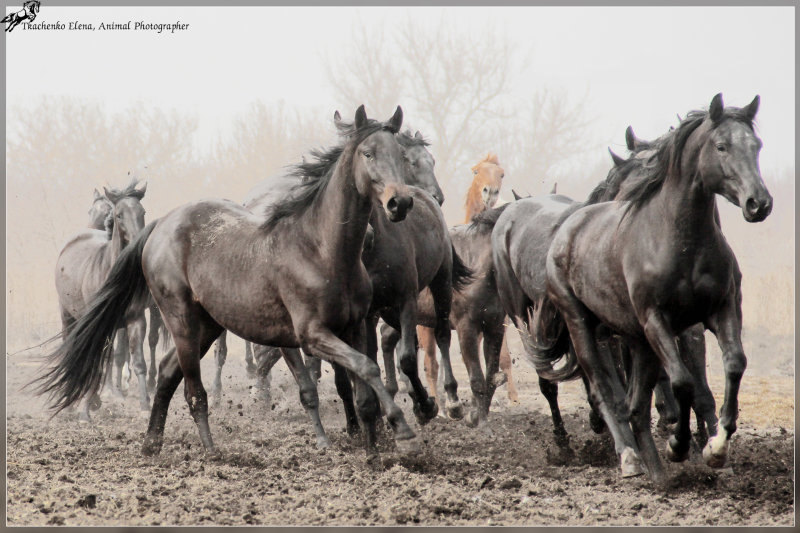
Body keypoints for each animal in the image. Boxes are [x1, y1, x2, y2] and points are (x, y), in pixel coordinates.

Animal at [34, 105, 422, 458]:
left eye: (401, 156)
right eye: (368, 153)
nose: (399, 202)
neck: (321, 250)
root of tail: (159, 224)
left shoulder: (354, 326)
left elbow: (364, 387)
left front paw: (373, 450)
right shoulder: (312, 335)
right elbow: (366, 367)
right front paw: (403, 432)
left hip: (207, 326)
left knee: (167, 372)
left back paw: (152, 444)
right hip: (182, 320)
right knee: (193, 390)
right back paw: (210, 450)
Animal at [544, 95, 768, 482]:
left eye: (756, 145)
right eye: (721, 146)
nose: (759, 203)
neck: (682, 243)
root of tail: (568, 227)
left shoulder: (719, 311)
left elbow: (734, 365)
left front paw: (716, 448)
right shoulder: (657, 321)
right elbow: (682, 382)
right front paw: (678, 446)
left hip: (637, 340)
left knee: (635, 405)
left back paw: (657, 473)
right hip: (583, 325)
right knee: (605, 391)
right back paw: (629, 458)